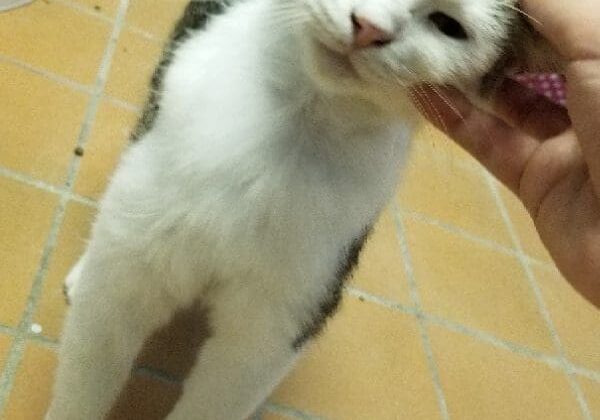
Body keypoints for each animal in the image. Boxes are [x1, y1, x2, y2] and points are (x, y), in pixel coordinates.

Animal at [45, 0, 552, 420]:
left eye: (449, 25)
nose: (368, 28)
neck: (298, 121)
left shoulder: (283, 316)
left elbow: (220, 395)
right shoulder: (132, 269)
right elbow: (88, 372)